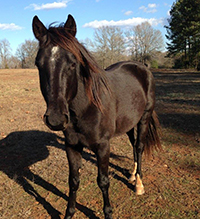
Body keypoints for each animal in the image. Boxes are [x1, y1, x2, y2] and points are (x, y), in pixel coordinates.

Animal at [32, 14, 161, 218]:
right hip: (129, 123)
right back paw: (132, 175)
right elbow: (73, 181)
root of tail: (142, 67)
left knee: (139, 147)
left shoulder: (102, 147)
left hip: (144, 118)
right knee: (133, 145)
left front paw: (108, 212)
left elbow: (103, 181)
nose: (56, 119)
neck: (86, 109)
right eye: (39, 64)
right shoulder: (72, 146)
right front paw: (69, 213)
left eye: (73, 63)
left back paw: (139, 184)